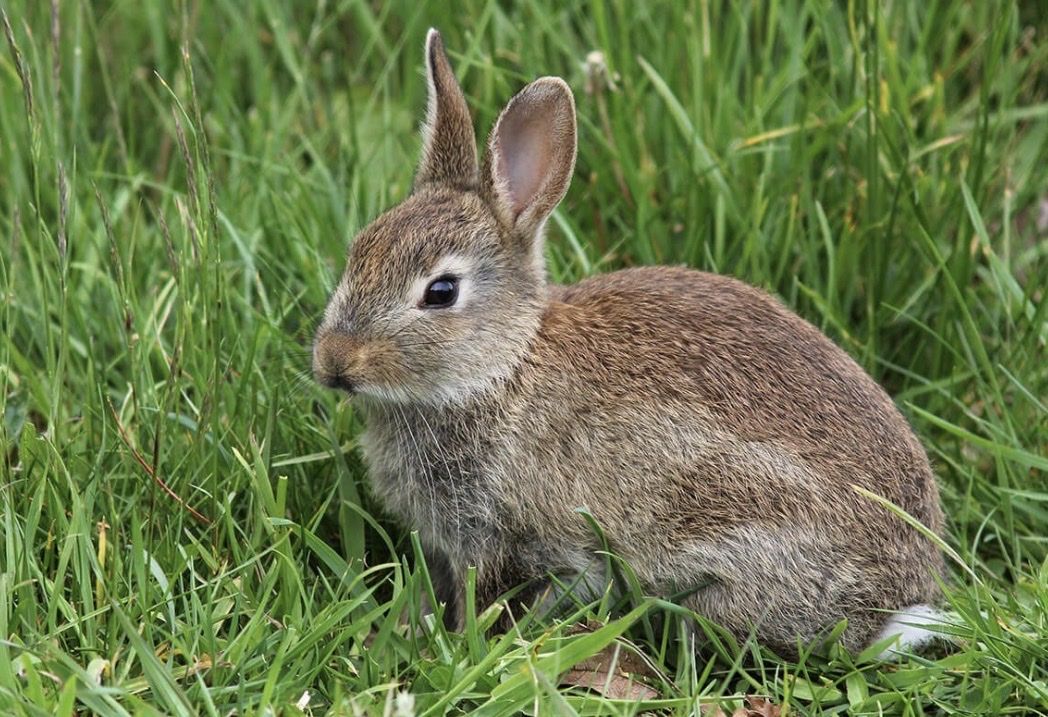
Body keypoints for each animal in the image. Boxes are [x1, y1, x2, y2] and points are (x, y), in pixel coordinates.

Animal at [312, 29, 947, 658]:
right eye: (358, 250)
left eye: (441, 292)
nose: (333, 362)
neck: (502, 367)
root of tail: (889, 610)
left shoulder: (515, 535)